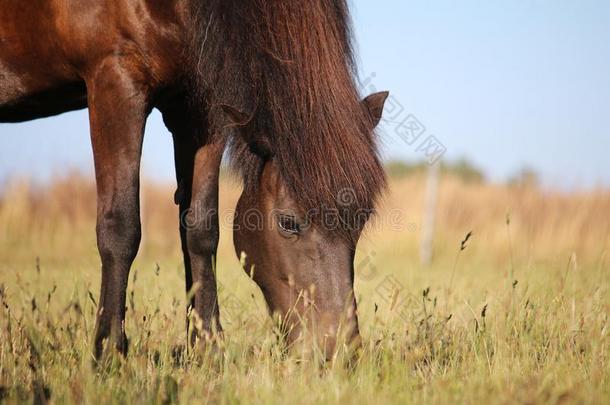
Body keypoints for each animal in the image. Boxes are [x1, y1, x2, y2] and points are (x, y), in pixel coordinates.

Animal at [0, 0, 388, 360]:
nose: (341, 353)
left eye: (362, 220)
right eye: (289, 223)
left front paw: (208, 350)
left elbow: (201, 230)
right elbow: (120, 228)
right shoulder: (114, 76)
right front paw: (108, 352)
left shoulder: (200, 105)